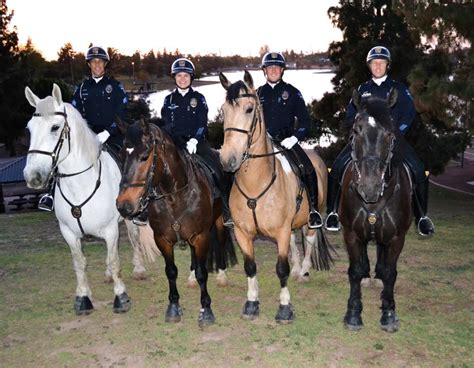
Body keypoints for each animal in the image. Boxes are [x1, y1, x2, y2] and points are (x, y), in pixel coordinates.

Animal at [23, 84, 155, 316]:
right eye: (29, 128)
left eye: (55, 127)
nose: (33, 176)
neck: (80, 184)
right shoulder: (68, 233)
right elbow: (79, 263)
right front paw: (83, 298)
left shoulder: (111, 230)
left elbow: (115, 260)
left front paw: (120, 297)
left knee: (134, 238)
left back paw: (138, 269)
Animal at [116, 119, 235, 326]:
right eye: (123, 155)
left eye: (144, 156)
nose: (124, 205)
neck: (175, 196)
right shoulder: (163, 239)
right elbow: (171, 271)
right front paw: (173, 307)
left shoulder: (201, 236)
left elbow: (203, 273)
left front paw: (206, 309)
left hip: (218, 223)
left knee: (220, 243)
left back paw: (221, 276)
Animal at [218, 71, 334, 322]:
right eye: (223, 110)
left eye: (249, 109)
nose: (228, 160)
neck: (256, 183)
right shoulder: (243, 234)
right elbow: (250, 267)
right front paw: (252, 303)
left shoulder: (280, 231)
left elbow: (281, 269)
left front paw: (285, 307)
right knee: (293, 241)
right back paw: (298, 266)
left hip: (314, 215)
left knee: (309, 239)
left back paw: (304, 270)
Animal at [338, 90, 412, 334]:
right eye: (355, 130)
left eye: (390, 133)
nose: (369, 187)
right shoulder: (351, 234)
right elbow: (354, 270)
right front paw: (353, 313)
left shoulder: (397, 237)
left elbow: (390, 273)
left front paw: (388, 314)